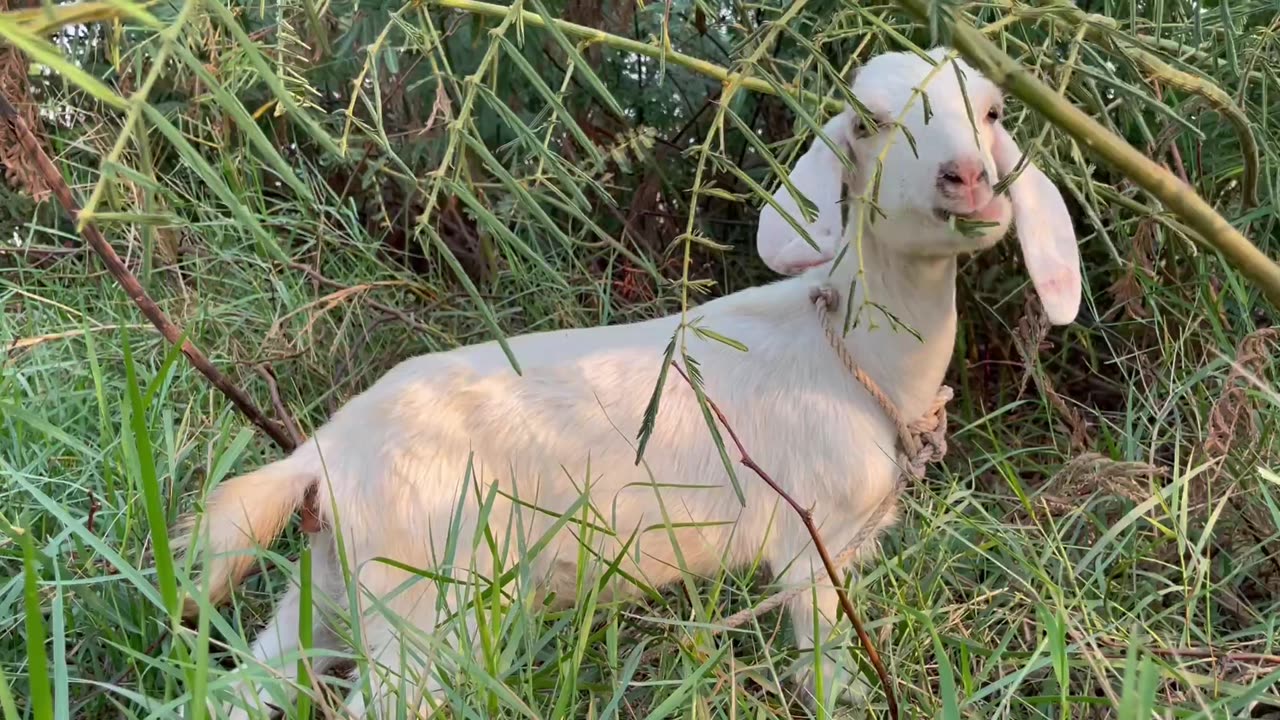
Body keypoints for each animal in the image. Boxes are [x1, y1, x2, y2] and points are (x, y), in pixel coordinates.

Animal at [175, 47, 1080, 712]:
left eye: (993, 113)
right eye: (866, 123)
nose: (969, 179)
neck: (855, 360)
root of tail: (321, 456)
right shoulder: (809, 545)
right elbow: (830, 675)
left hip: (329, 587)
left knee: (238, 687)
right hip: (426, 597)